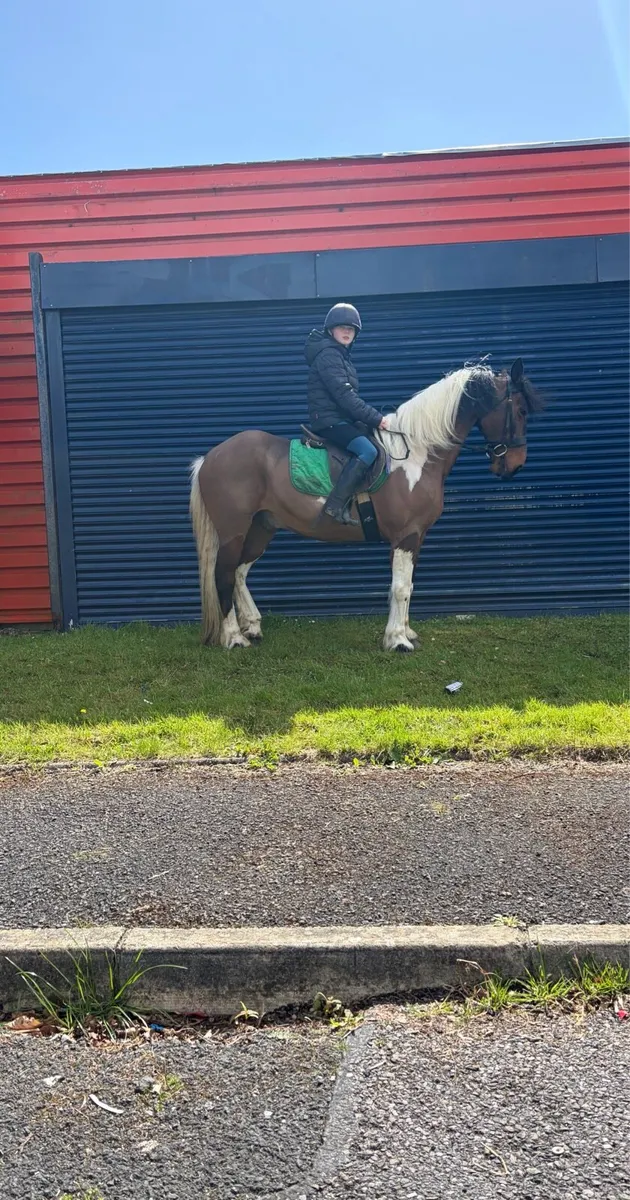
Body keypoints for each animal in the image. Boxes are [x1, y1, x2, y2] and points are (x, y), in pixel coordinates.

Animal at [189, 358, 544, 651]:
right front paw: (398, 641)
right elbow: (400, 587)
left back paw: (252, 627)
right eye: (521, 411)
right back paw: (233, 638)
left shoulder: (416, 538)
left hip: (261, 527)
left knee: (238, 573)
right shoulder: (406, 536)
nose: (515, 466)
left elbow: (408, 585)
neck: (417, 454)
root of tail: (211, 457)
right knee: (223, 574)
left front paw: (406, 632)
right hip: (234, 531)